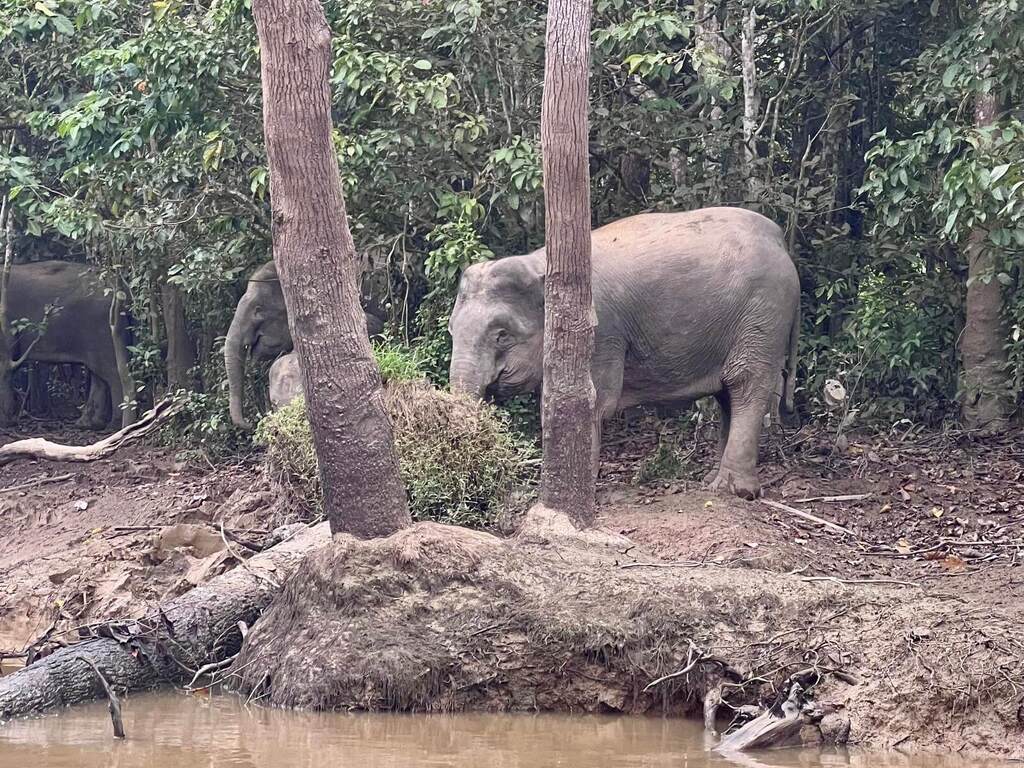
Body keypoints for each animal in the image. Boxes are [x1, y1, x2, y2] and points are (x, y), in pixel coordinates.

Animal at [5, 261, 131, 429]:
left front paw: (6, 422)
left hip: (104, 328)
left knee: (113, 373)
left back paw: (115, 425)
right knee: (99, 374)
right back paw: (87, 424)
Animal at [447, 207, 800, 500]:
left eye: (502, 336)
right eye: (451, 330)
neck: (540, 263)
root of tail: (780, 239)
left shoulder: (599, 333)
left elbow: (594, 403)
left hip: (764, 313)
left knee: (746, 384)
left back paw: (734, 491)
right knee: (728, 394)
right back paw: (711, 481)